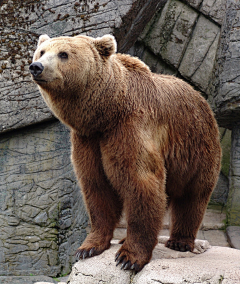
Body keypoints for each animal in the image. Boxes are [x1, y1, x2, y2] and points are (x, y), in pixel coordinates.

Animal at [29, 34, 221, 272]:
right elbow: (96, 187)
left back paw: (180, 241)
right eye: (42, 52)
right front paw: (88, 248)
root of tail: (202, 99)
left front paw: (128, 258)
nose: (36, 67)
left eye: (63, 54)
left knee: (192, 195)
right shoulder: (88, 140)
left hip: (196, 147)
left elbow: (140, 182)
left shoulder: (130, 128)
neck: (106, 112)